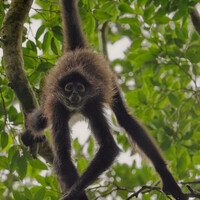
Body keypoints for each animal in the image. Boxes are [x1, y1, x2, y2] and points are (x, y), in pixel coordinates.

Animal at [21, 0, 188, 200]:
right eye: (69, 88)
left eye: (80, 88)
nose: (75, 95)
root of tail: (77, 51)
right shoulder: (58, 107)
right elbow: (63, 159)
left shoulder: (91, 104)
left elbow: (108, 148)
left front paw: (72, 194)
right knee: (39, 121)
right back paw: (29, 134)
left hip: (109, 80)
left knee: (125, 119)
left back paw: (166, 176)